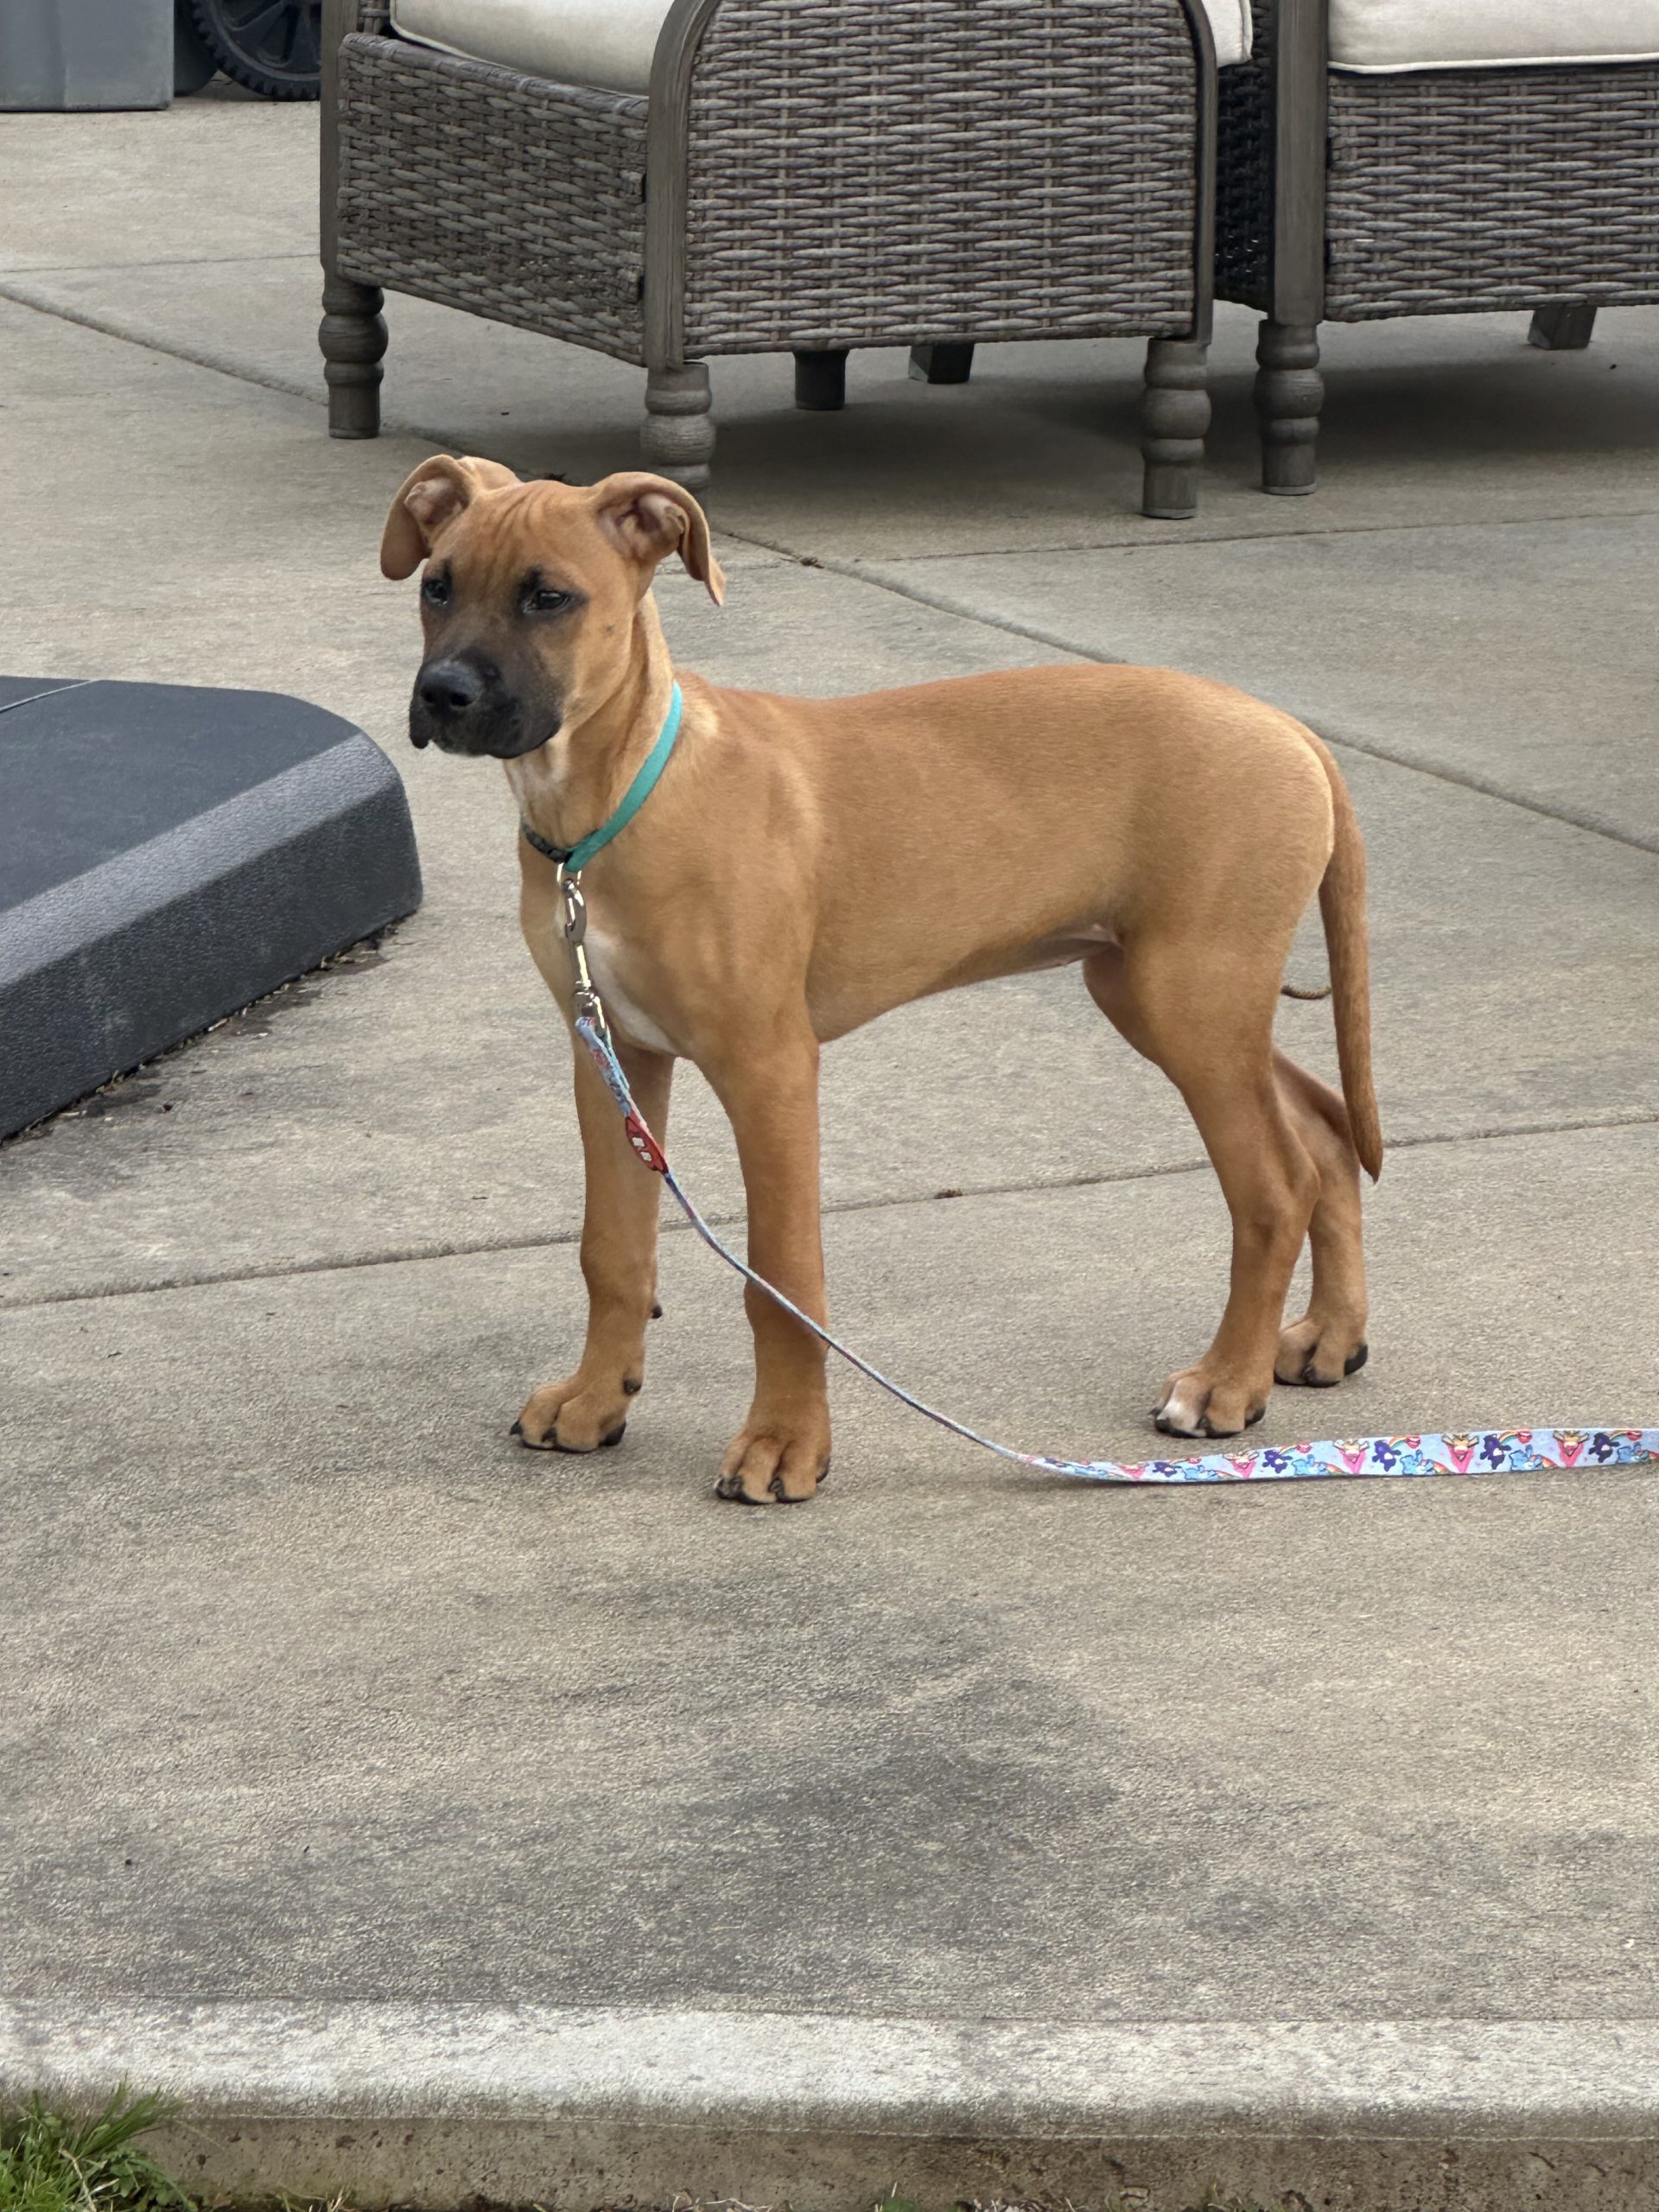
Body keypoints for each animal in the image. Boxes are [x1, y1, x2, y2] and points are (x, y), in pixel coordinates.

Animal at [382, 457, 1382, 1504]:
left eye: (549, 598)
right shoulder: (611, 1054)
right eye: (436, 586)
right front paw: (594, 1398)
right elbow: (612, 1248)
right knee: (1325, 1133)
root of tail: (1290, 729)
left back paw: (1227, 1383)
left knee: (1276, 1185)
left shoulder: (769, 1068)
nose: (442, 694)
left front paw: (784, 1443)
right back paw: (1325, 1339)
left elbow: (781, 1278)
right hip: (1167, 995)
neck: (614, 801)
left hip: (1189, 996)